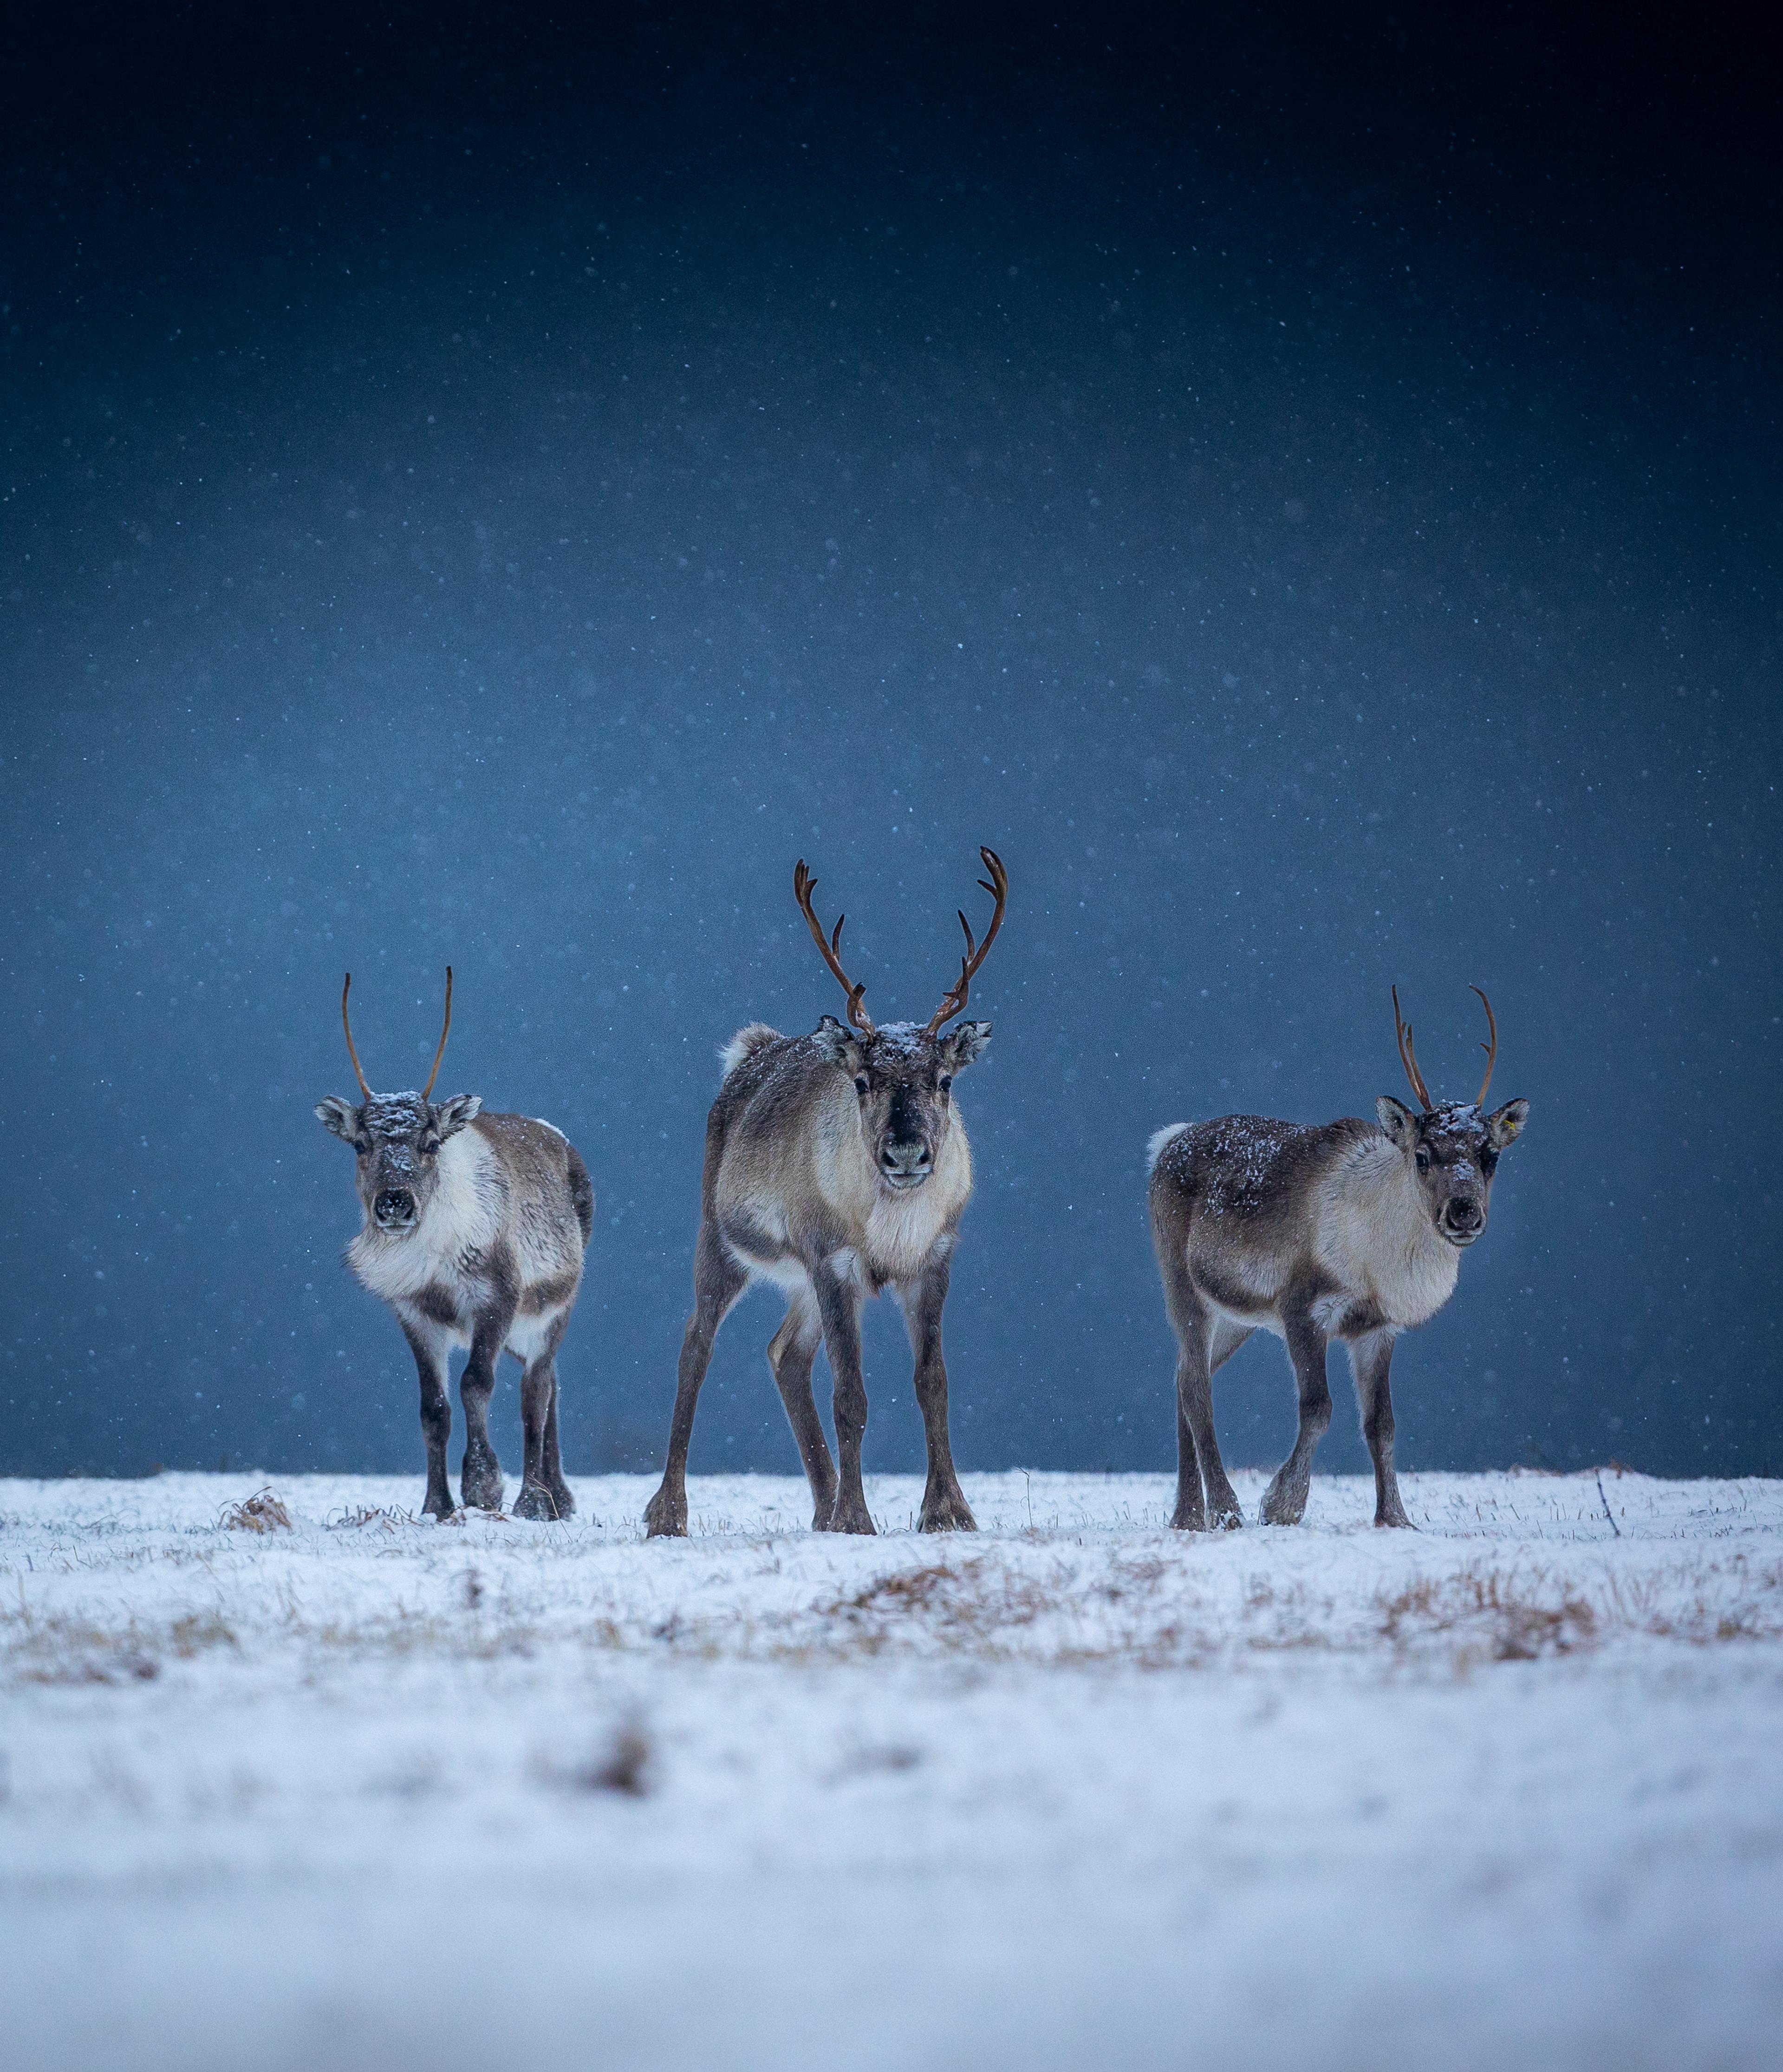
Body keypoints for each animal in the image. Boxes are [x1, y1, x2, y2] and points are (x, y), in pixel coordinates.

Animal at [314, 970, 594, 1521]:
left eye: (431, 1142)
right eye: (360, 1144)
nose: (394, 1203)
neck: (434, 1261)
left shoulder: (496, 1298)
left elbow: (475, 1385)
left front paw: (484, 1486)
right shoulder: (414, 1313)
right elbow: (433, 1409)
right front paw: (437, 1504)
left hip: (557, 1306)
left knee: (536, 1391)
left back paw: (536, 1500)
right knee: (552, 1385)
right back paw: (558, 1498)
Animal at [643, 848, 1009, 1539]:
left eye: (944, 1079)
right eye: (863, 1080)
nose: (906, 1152)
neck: (889, 1231)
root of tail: (750, 1053)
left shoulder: (935, 1257)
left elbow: (933, 1383)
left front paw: (947, 1511)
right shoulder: (833, 1259)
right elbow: (851, 1395)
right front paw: (858, 1518)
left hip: (800, 1280)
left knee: (785, 1353)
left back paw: (822, 1505)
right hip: (723, 1239)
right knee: (695, 1344)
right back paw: (668, 1512)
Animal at [1147, 987, 1529, 1531]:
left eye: (1490, 1154)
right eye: (1423, 1154)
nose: (1463, 1212)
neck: (1383, 1264)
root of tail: (1166, 1143)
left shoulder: (1378, 1328)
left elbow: (1382, 1424)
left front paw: (1395, 1517)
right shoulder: (1303, 1307)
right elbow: (1318, 1408)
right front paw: (1281, 1505)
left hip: (1236, 1318)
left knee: (1182, 1377)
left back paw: (1186, 1516)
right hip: (1182, 1285)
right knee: (1198, 1389)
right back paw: (1225, 1511)